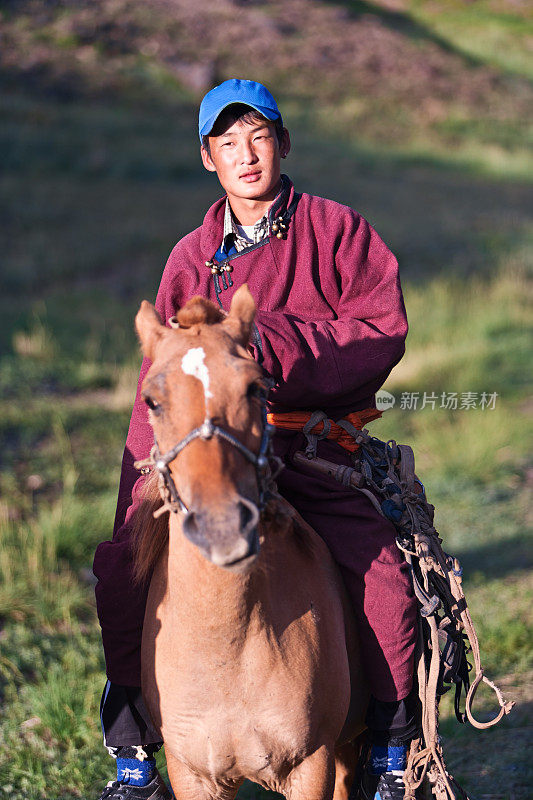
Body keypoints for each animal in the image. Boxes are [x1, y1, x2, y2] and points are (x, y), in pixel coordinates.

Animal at [134, 286, 366, 800]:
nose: (222, 526)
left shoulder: (311, 764)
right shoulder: (192, 773)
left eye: (256, 388)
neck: (227, 651)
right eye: (152, 401)